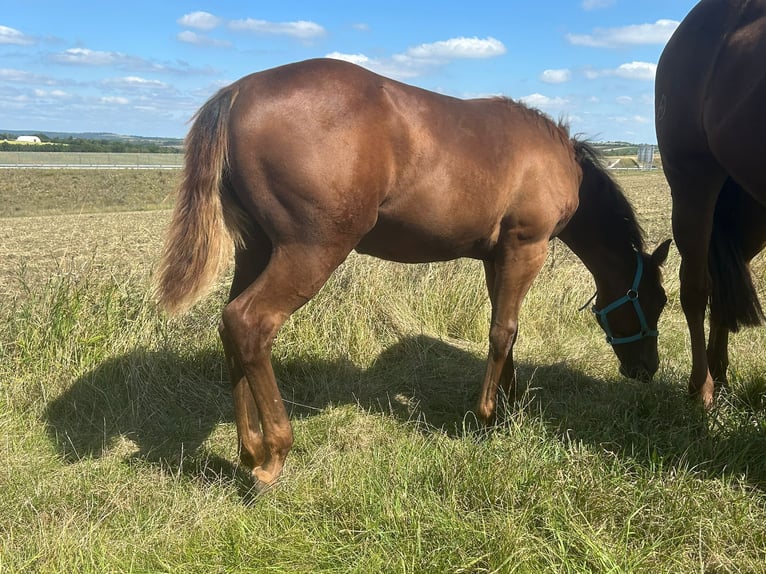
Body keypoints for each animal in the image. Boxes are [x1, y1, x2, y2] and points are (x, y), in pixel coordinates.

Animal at [156, 58, 670, 485]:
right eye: (657, 301)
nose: (647, 370)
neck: (554, 159)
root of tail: (238, 91)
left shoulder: (497, 256)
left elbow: (506, 330)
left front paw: (507, 408)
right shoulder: (527, 248)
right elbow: (503, 330)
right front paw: (488, 414)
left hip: (257, 252)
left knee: (229, 327)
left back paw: (249, 450)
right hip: (310, 251)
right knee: (250, 323)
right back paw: (275, 454)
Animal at [655, 0, 766, 407]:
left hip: (751, 212)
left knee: (720, 289)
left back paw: (719, 376)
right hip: (693, 184)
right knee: (695, 286)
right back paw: (700, 388)